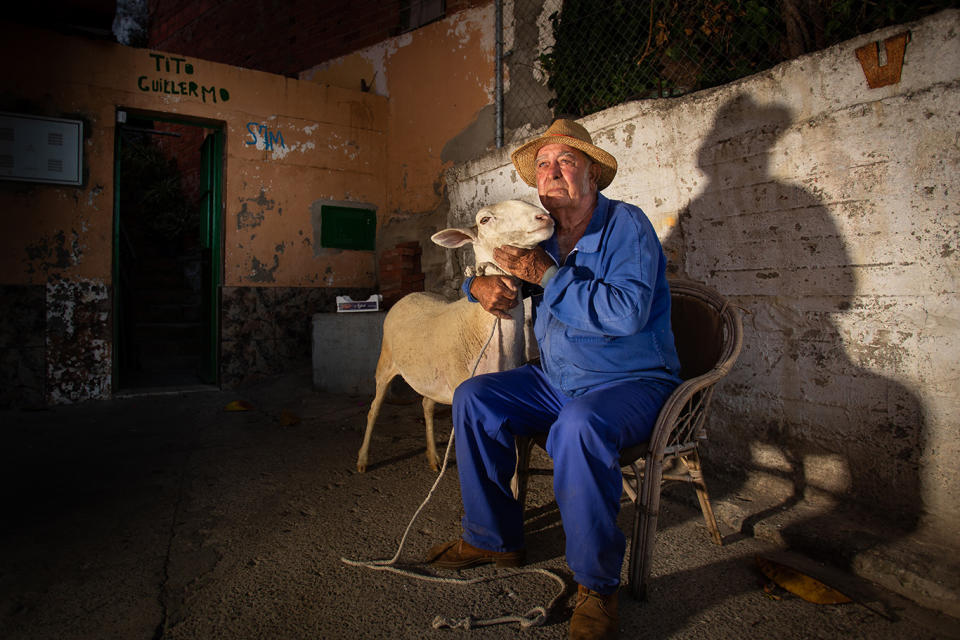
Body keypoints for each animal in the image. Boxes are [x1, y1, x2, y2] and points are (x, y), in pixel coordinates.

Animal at [356, 202, 556, 472]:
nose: (544, 217)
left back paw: (433, 457)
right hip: (385, 364)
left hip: (431, 375)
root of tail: (412, 294)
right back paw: (363, 459)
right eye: (484, 220)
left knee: (426, 406)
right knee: (373, 410)